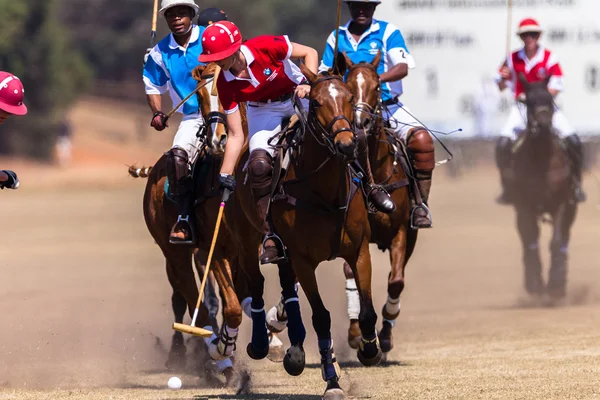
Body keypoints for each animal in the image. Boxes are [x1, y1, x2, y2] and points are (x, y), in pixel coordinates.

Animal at [227, 54, 382, 400]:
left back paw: (295, 352)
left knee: (286, 286)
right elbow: (321, 317)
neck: (326, 194)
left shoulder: (359, 251)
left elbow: (367, 310)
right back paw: (261, 344)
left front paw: (369, 349)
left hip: (284, 252)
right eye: (318, 102)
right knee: (257, 284)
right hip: (247, 239)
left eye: (348, 97)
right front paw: (332, 381)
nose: (347, 144)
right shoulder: (304, 260)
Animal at [508, 74, 580, 300]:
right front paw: (535, 284)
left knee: (564, 238)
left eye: (549, 99)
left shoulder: (563, 203)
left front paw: (555, 284)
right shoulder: (524, 207)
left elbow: (556, 242)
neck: (542, 159)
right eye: (529, 101)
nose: (543, 126)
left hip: (571, 208)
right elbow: (530, 242)